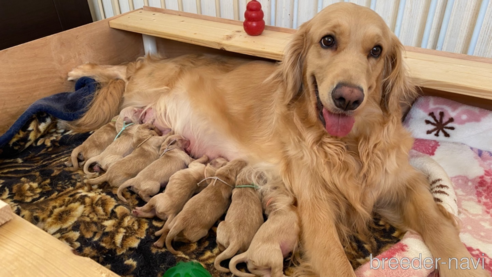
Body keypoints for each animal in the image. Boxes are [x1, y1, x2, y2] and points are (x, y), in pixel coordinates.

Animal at [66, 2, 488, 276]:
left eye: (376, 50)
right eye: (328, 41)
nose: (347, 97)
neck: (349, 145)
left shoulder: (401, 183)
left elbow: (441, 229)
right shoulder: (316, 208)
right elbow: (336, 262)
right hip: (148, 80)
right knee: (124, 67)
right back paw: (77, 71)